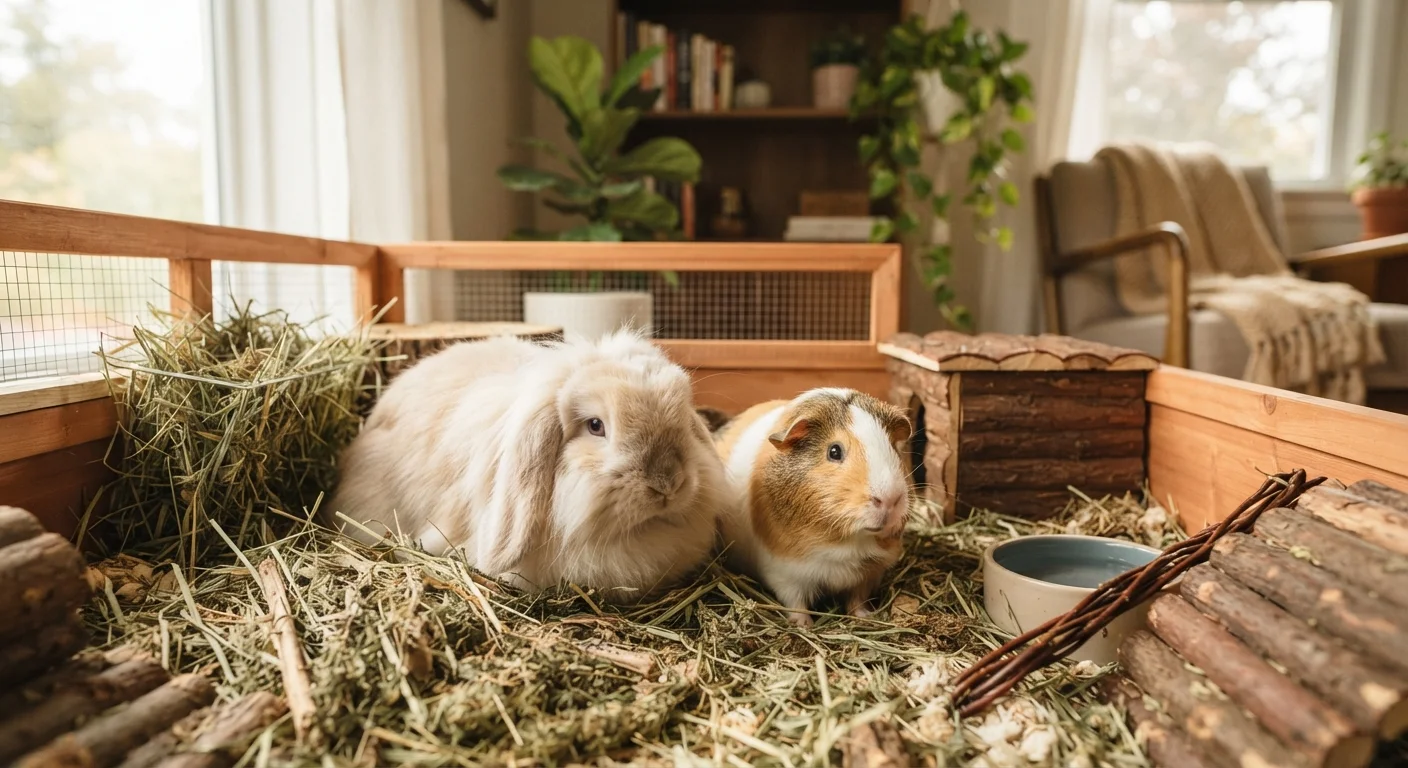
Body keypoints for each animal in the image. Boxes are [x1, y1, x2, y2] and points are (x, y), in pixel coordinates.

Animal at [709, 388, 912, 626]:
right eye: (834, 451)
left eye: (892, 447)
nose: (891, 499)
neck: (847, 543)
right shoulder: (785, 573)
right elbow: (796, 603)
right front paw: (804, 625)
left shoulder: (868, 574)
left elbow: (857, 599)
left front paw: (865, 617)